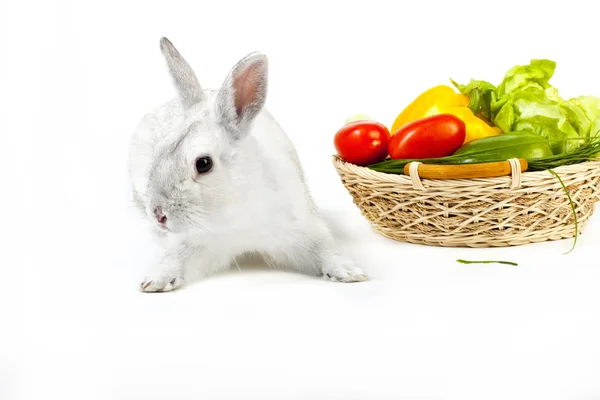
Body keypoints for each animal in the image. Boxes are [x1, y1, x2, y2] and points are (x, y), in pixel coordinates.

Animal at [129, 37, 368, 292]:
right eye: (160, 151)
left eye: (203, 164)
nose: (158, 214)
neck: (234, 210)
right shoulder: (190, 243)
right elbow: (174, 259)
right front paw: (154, 281)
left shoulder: (304, 232)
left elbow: (325, 252)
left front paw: (350, 272)